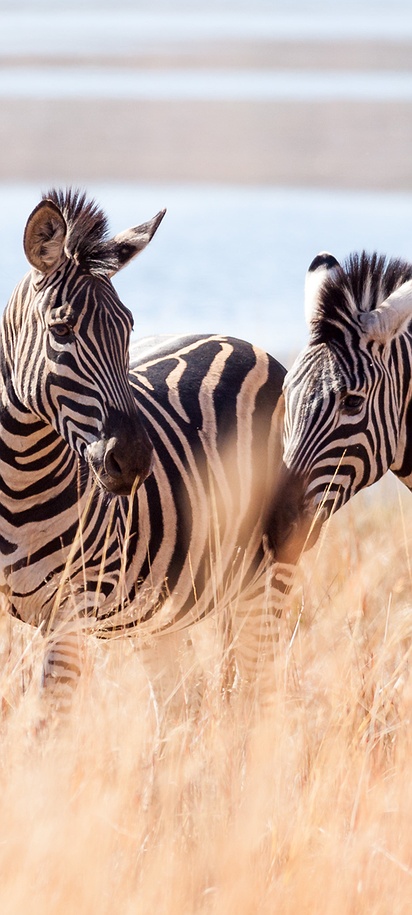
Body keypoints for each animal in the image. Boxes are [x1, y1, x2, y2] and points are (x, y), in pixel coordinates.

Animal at [1, 187, 290, 714]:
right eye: (61, 331)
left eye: (129, 328)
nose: (134, 460)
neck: (17, 480)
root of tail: (239, 340)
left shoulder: (74, 606)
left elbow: (46, 721)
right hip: (159, 609)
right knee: (180, 703)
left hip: (270, 570)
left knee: (257, 686)